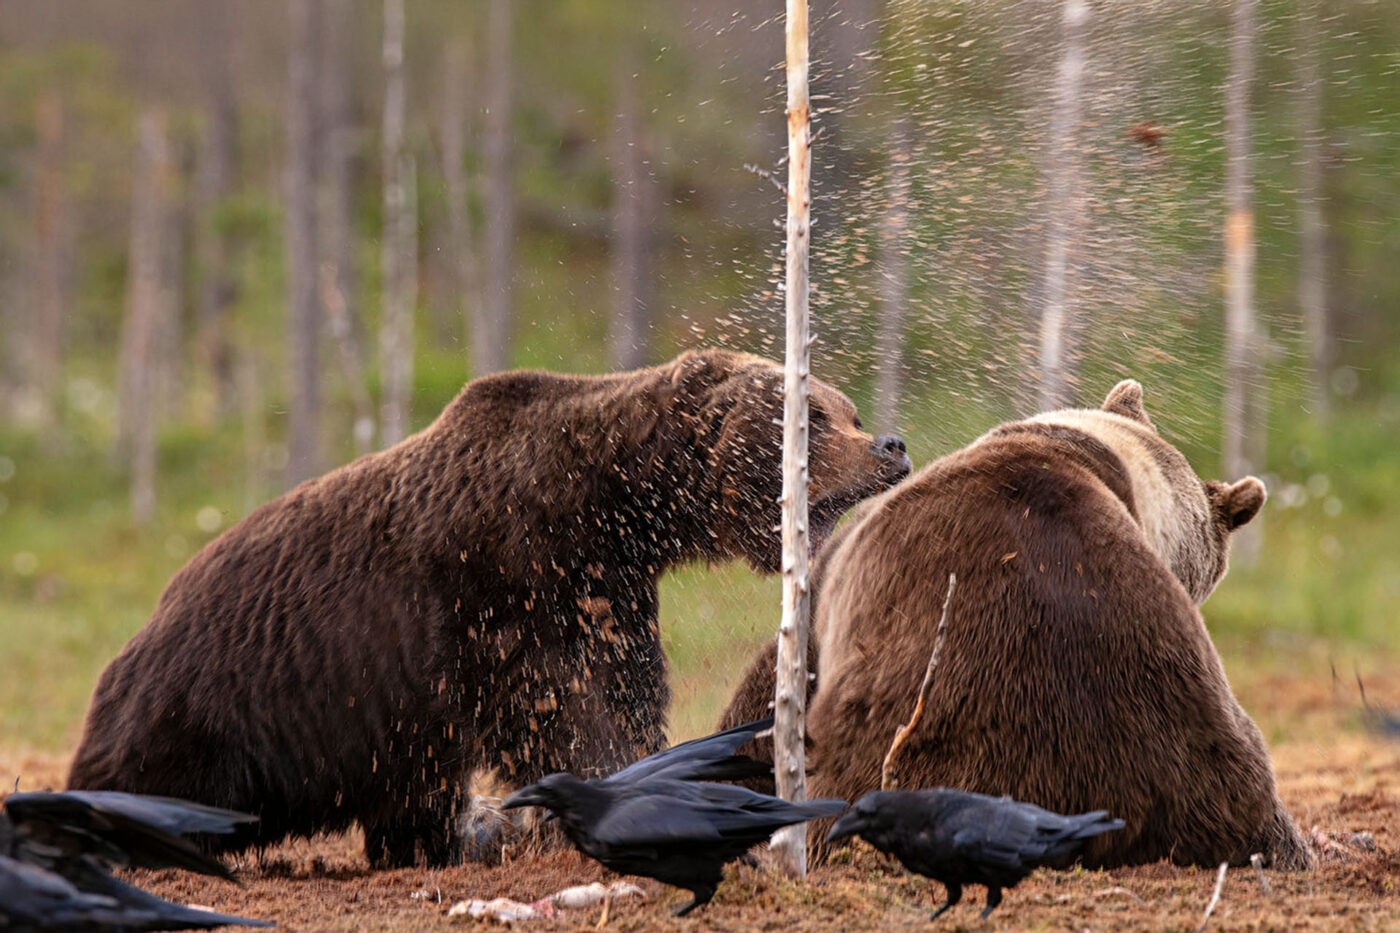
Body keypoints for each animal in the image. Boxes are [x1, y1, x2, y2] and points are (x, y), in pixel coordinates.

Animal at [67, 349, 912, 868]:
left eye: (848, 409)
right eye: (813, 418)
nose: (891, 444)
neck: (609, 508)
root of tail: (131, 644)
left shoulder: (606, 592)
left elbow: (625, 686)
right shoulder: (506, 582)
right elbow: (561, 707)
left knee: (413, 789)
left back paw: (448, 838)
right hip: (209, 706)